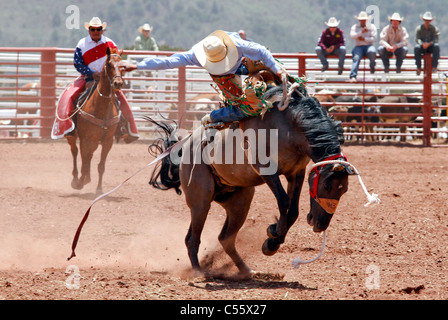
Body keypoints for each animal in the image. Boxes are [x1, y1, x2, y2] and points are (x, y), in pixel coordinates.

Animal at [65, 46, 124, 194]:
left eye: (122, 66)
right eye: (109, 64)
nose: (118, 83)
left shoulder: (108, 141)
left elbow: (101, 165)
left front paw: (99, 189)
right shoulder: (85, 139)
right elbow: (84, 161)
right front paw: (80, 182)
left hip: (95, 141)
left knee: (89, 156)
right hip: (73, 136)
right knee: (75, 152)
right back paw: (76, 179)